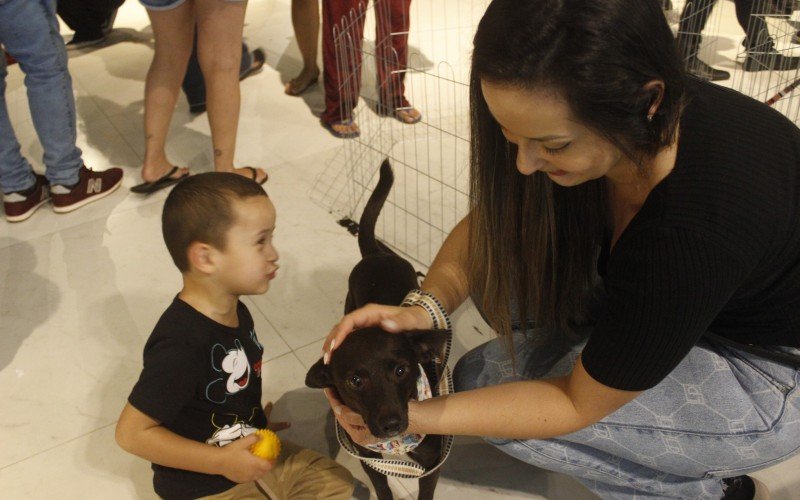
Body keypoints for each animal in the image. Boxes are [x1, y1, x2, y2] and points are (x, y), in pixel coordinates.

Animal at [306, 160, 446, 500]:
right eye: (355, 380)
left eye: (401, 370)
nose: (392, 424)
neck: (394, 446)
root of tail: (376, 254)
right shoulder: (370, 462)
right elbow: (382, 489)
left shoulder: (431, 466)